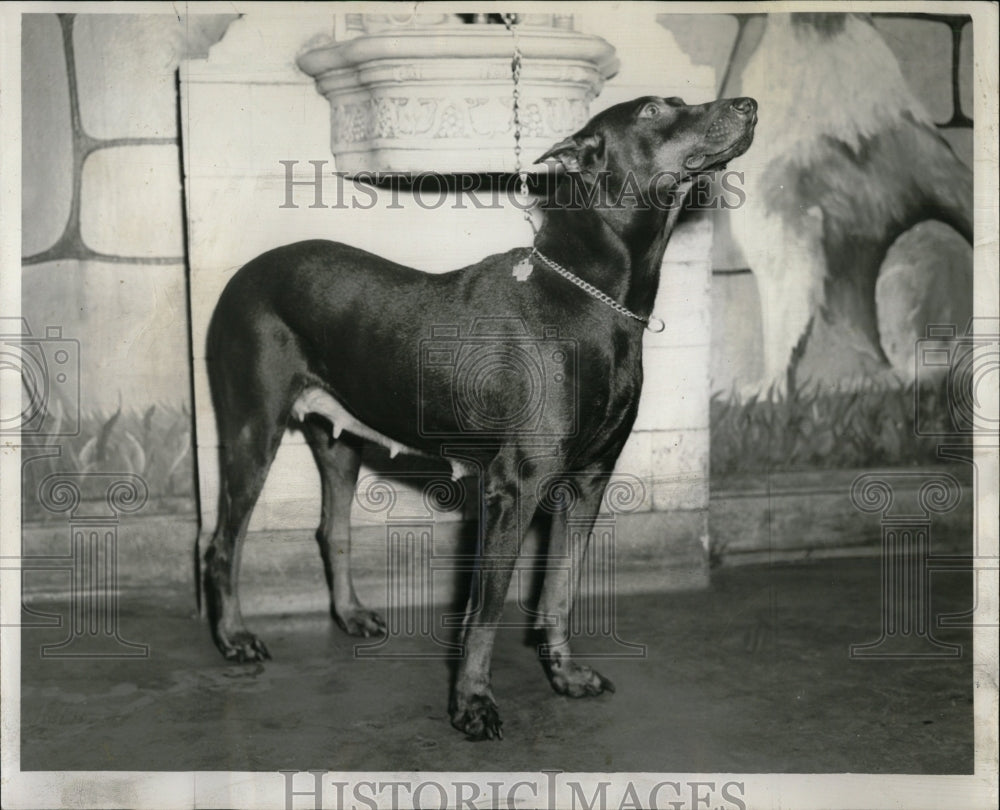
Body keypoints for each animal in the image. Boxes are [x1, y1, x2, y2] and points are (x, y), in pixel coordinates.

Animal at [203, 94, 752, 740]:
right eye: (652, 111)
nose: (748, 105)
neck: (593, 298)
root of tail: (244, 275)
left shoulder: (589, 481)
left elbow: (560, 590)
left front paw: (565, 675)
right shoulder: (512, 489)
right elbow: (483, 613)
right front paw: (472, 703)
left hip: (339, 439)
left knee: (331, 529)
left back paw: (351, 614)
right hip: (251, 428)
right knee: (222, 544)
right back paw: (234, 638)